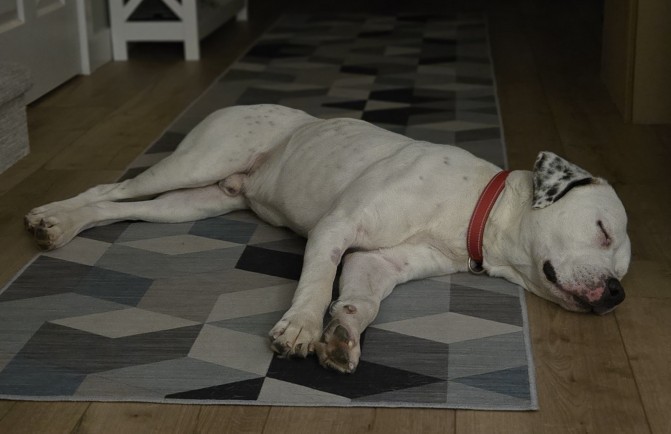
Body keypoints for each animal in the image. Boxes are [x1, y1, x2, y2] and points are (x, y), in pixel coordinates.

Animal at [25, 104, 630, 373]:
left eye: (624, 272)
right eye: (601, 231)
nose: (617, 294)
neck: (471, 209)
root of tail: (235, 104)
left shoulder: (375, 263)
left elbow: (360, 302)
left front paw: (341, 334)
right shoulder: (337, 229)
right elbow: (317, 282)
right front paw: (299, 327)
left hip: (191, 203)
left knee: (114, 207)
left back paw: (65, 226)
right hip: (194, 164)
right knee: (110, 187)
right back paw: (51, 214)